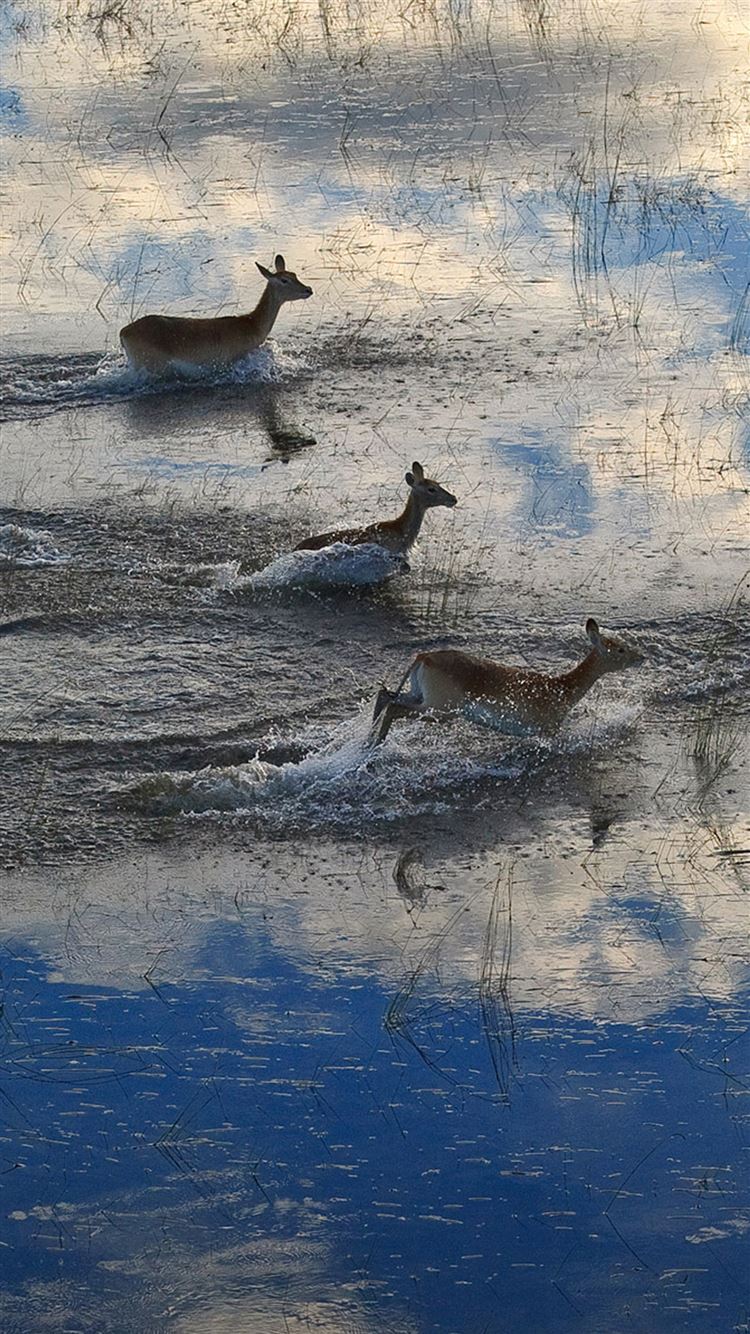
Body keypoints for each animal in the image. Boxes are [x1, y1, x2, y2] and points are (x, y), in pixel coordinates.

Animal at [369, 618, 643, 745]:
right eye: (619, 649)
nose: (641, 657)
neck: (563, 689)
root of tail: (423, 657)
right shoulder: (548, 733)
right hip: (440, 709)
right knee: (392, 707)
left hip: (420, 697)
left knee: (384, 697)